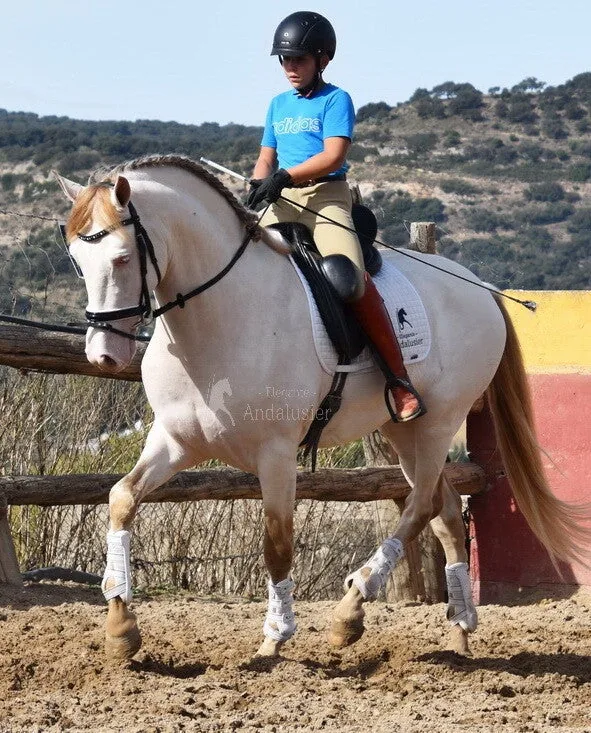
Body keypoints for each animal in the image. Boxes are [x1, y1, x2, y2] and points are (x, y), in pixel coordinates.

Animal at [54, 154, 591, 662]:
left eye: (123, 257)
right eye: (77, 260)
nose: (104, 355)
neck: (219, 316)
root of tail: (478, 287)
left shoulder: (275, 453)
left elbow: (276, 544)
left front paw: (275, 638)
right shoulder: (176, 441)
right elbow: (121, 499)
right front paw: (121, 628)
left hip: (441, 422)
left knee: (420, 506)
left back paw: (351, 610)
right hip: (405, 431)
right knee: (444, 514)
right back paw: (460, 628)